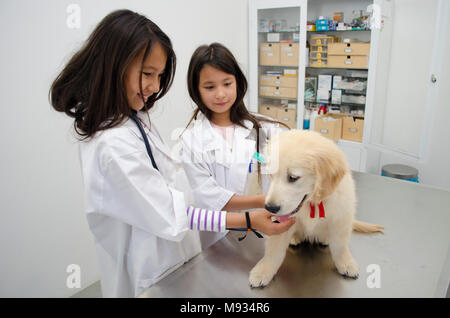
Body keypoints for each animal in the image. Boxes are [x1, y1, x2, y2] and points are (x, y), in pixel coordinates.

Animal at [250, 129, 384, 288]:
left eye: (293, 177)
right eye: (271, 175)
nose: (270, 207)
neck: (312, 203)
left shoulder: (341, 218)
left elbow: (340, 246)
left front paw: (346, 263)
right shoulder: (280, 225)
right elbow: (273, 250)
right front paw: (263, 270)